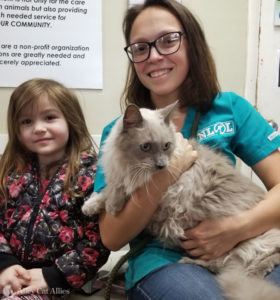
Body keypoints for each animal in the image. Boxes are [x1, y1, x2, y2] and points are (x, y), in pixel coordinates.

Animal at [82, 102, 280, 298]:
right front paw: (89, 206)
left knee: (232, 266)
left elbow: (119, 190)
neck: (129, 164)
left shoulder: (152, 186)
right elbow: (107, 191)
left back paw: (191, 261)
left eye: (166, 146)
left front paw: (112, 206)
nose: (161, 165)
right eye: (146, 147)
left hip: (242, 247)